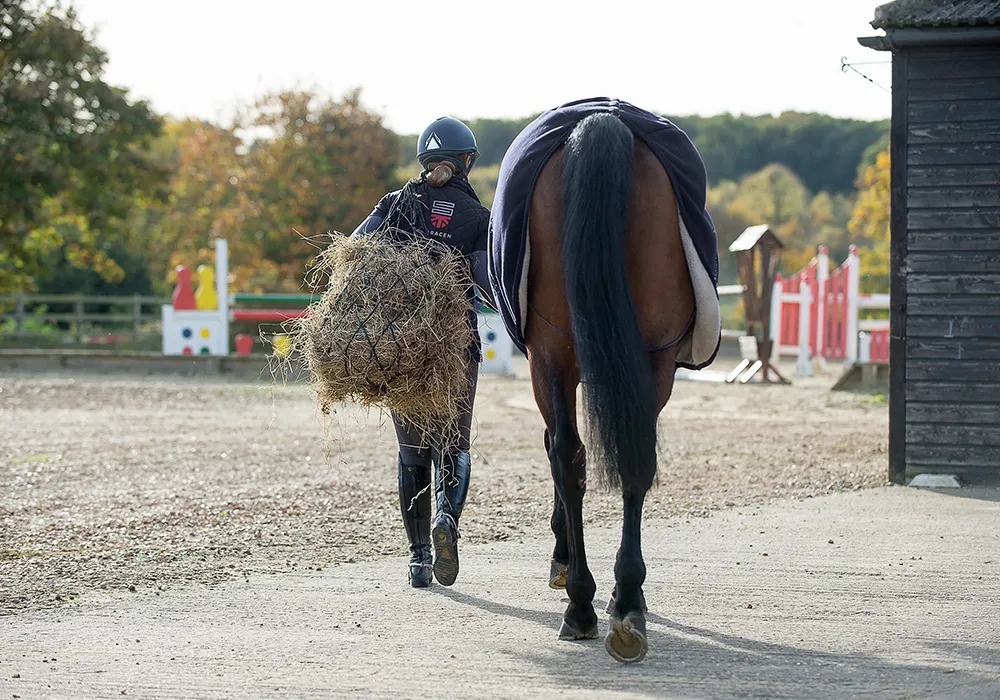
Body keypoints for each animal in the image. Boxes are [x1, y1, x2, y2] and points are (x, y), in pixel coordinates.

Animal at [523, 112, 696, 663]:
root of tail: (603, 123)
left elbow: (558, 453)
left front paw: (564, 563)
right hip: (649, 359)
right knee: (633, 459)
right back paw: (626, 603)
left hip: (553, 353)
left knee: (570, 457)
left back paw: (584, 601)